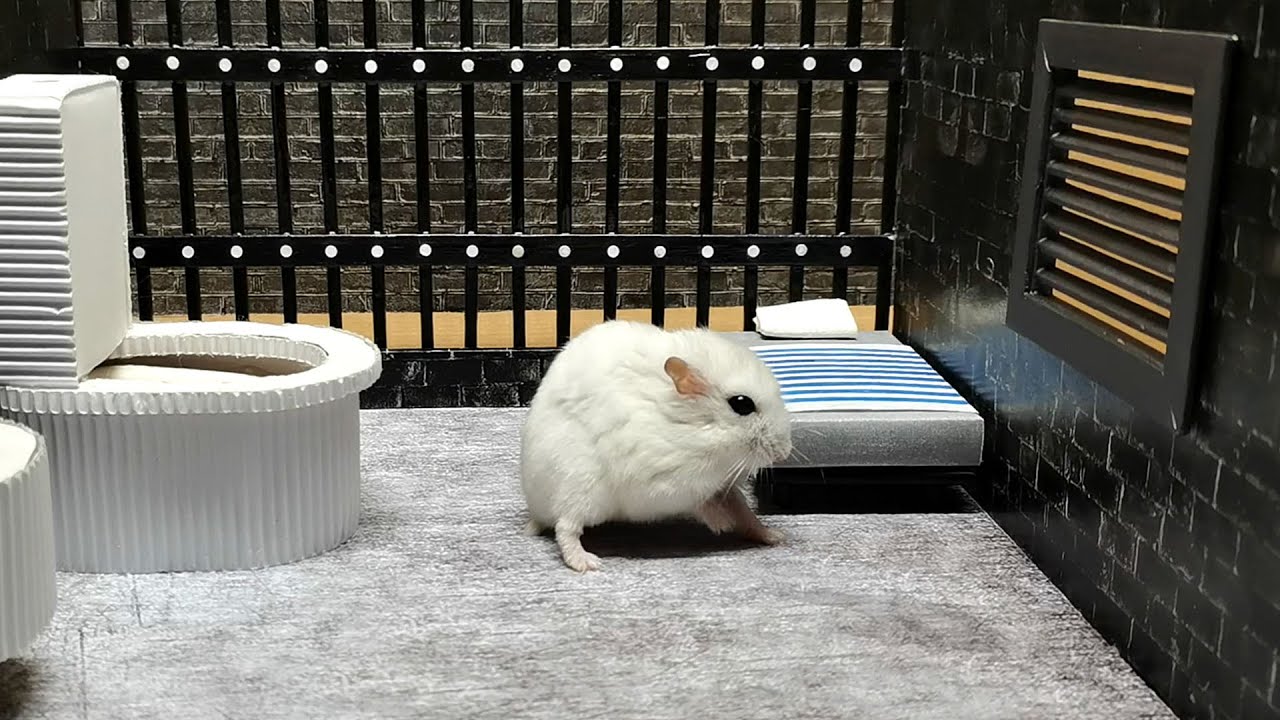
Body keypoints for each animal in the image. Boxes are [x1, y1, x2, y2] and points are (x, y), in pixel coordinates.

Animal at [520, 320, 793, 572]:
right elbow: (699, 503)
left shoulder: (724, 483)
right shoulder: (665, 484)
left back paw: (775, 537)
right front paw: (722, 524)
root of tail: (535, 509)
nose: (784, 452)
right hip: (579, 487)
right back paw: (587, 563)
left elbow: (744, 510)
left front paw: (772, 535)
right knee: (565, 527)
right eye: (742, 404)